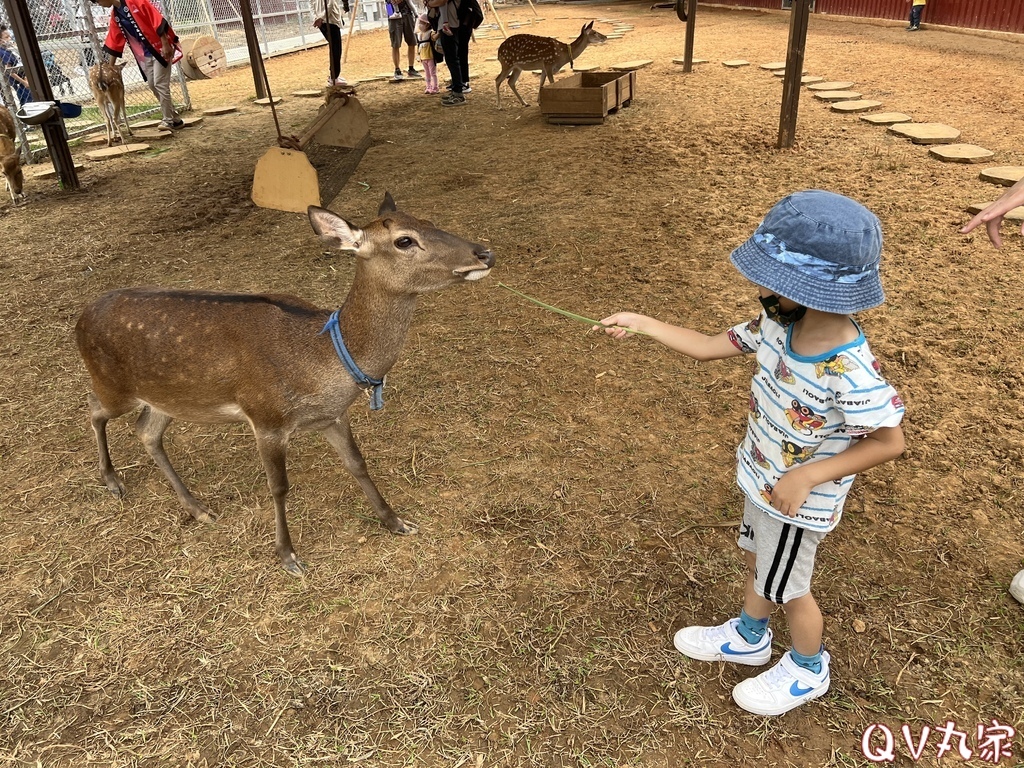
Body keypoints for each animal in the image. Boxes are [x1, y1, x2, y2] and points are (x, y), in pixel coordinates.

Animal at [76, 193, 495, 577]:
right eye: (405, 240)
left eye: (428, 220)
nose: (484, 253)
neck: (324, 361)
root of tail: (80, 319)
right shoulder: (266, 417)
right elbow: (279, 486)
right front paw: (288, 555)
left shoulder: (332, 415)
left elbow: (357, 463)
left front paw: (396, 521)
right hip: (113, 385)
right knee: (94, 408)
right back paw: (112, 480)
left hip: (169, 399)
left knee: (146, 431)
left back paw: (198, 508)